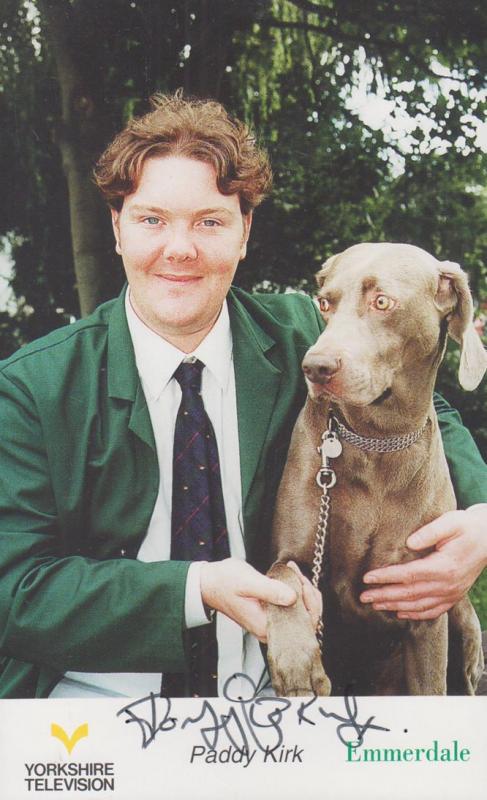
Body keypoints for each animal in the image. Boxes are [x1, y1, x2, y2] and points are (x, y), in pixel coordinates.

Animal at [266, 242, 487, 692]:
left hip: (461, 621)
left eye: (382, 301)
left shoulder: (425, 612)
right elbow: (282, 580)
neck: (376, 440)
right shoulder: (296, 554)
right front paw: (298, 662)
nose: (315, 367)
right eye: (324, 303)